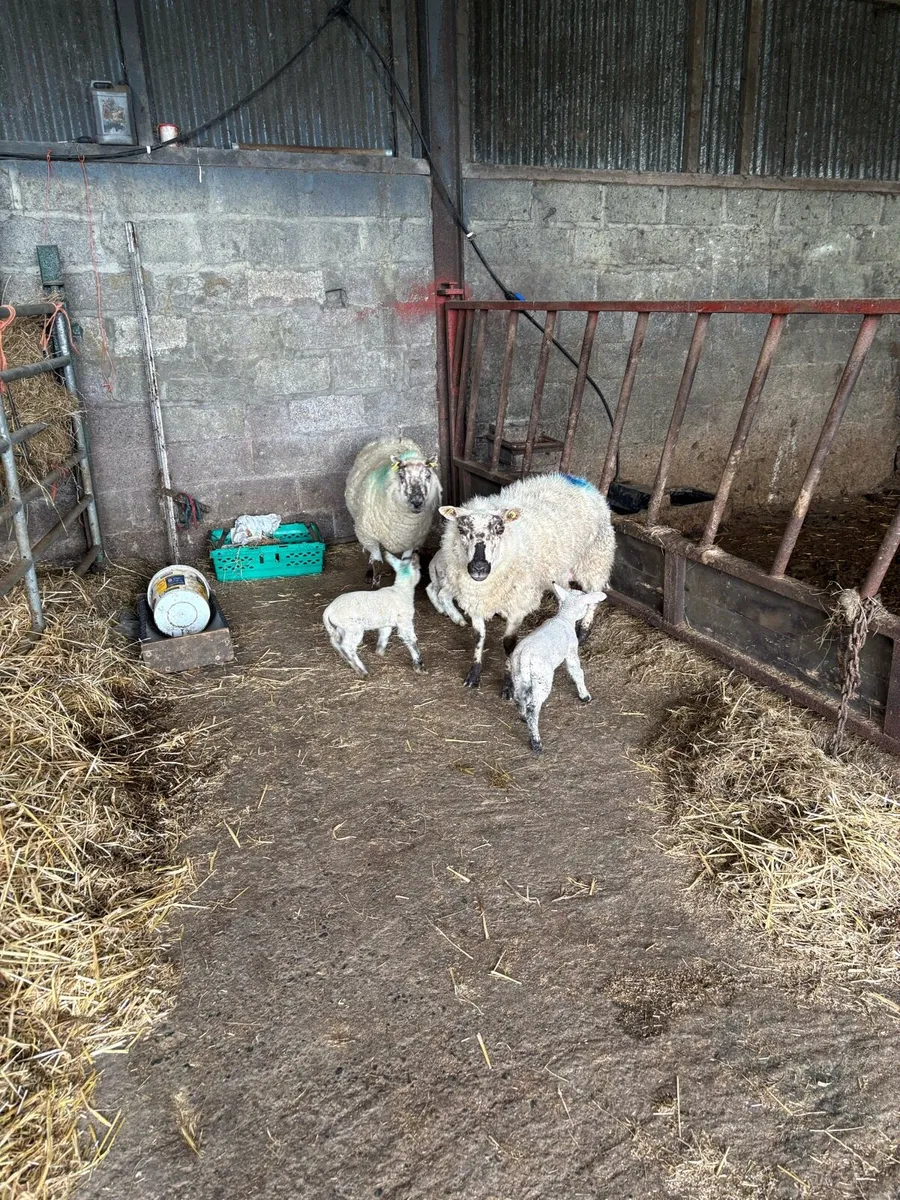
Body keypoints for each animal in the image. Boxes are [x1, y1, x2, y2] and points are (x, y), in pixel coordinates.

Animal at [345, 437, 441, 586]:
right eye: (401, 476)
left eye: (428, 475)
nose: (417, 502)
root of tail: (394, 438)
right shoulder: (370, 536)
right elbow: (377, 563)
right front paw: (375, 585)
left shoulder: (410, 540)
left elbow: (405, 563)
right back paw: (369, 572)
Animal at [430, 472, 615, 692]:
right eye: (461, 529)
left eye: (500, 529)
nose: (479, 568)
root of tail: (576, 479)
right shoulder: (475, 601)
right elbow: (478, 636)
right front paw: (474, 674)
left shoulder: (517, 605)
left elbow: (509, 644)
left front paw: (509, 685)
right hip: (561, 568)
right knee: (566, 592)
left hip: (594, 558)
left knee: (594, 596)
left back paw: (583, 632)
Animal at [510, 583, 607, 753]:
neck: (564, 618)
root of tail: (524, 657)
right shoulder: (571, 651)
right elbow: (577, 672)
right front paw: (585, 696)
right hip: (541, 678)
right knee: (533, 708)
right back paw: (536, 742)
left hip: (518, 676)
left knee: (518, 698)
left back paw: (522, 717)